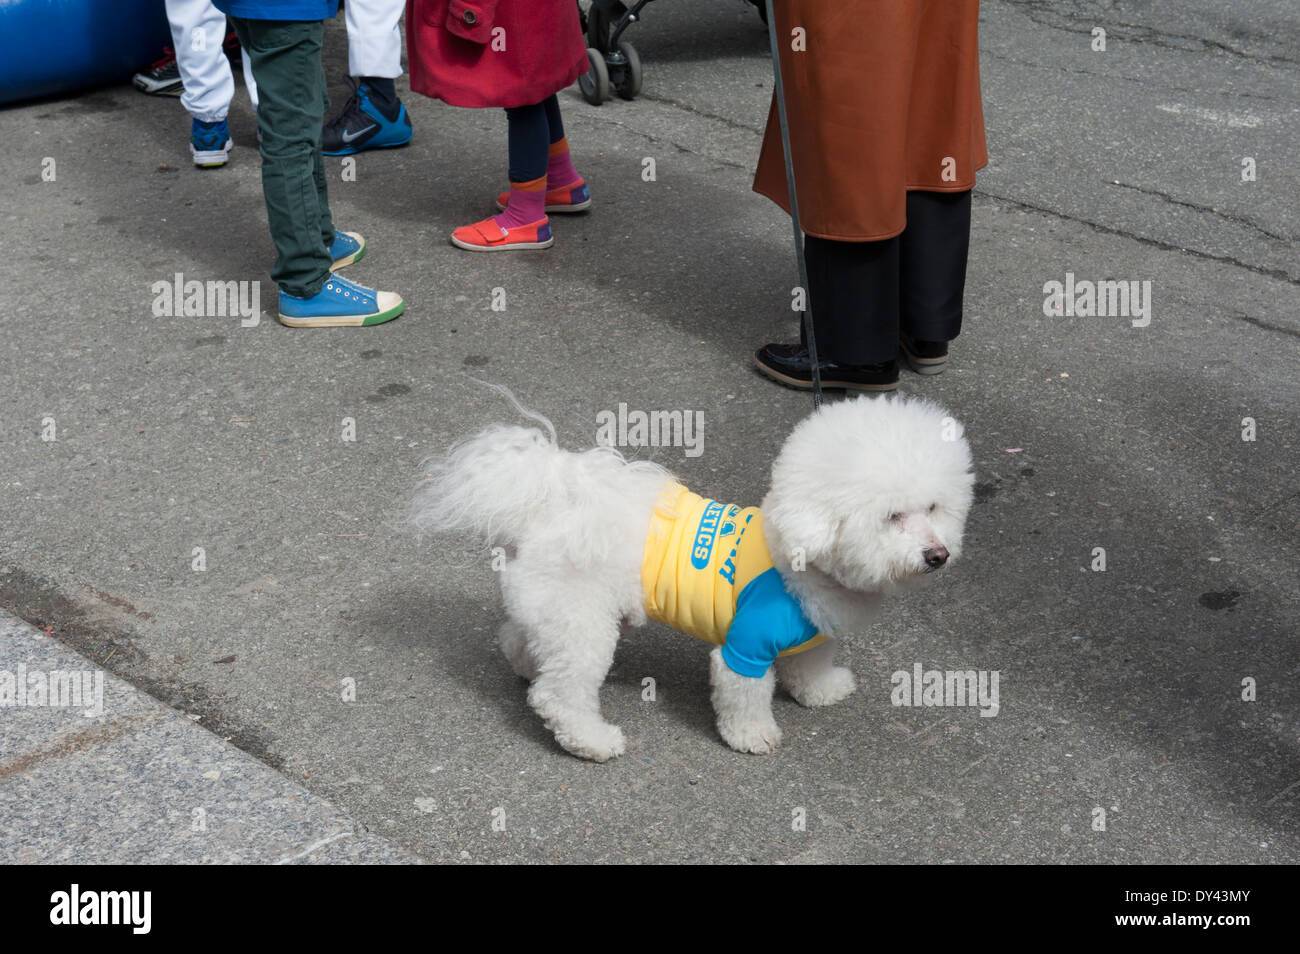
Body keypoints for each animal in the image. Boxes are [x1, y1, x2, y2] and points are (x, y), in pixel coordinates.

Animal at [410, 395, 972, 764]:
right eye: (892, 516)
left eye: (933, 507)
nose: (938, 555)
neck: (800, 556)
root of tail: (552, 505)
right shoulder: (746, 647)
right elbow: (743, 696)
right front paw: (752, 737)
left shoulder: (813, 633)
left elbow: (810, 665)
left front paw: (821, 691)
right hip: (584, 626)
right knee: (561, 693)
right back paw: (592, 741)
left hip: (559, 611)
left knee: (519, 638)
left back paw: (525, 665)